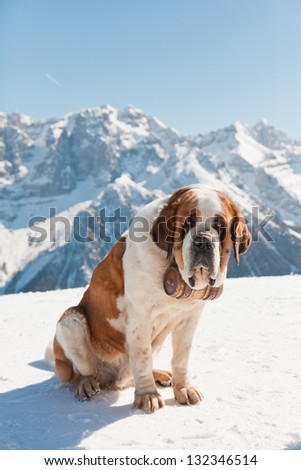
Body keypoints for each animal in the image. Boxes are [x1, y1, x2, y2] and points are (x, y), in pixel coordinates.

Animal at [52, 184, 250, 412]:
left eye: (219, 225)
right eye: (187, 223)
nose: (203, 241)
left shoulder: (189, 319)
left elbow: (181, 357)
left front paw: (184, 388)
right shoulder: (140, 321)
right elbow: (142, 359)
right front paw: (148, 395)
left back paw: (161, 375)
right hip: (70, 322)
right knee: (86, 370)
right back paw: (87, 384)